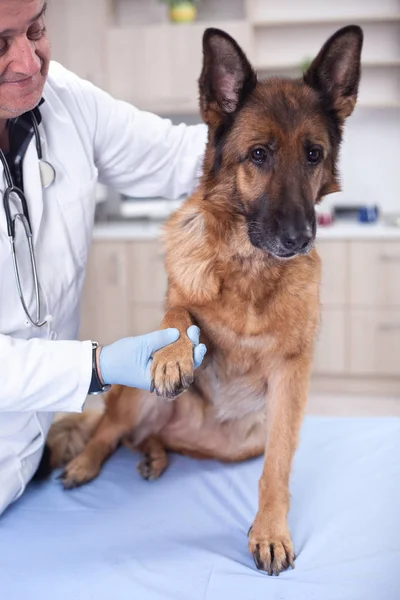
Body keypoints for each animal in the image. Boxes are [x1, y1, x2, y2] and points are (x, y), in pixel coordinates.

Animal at [46, 24, 362, 576]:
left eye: (313, 154)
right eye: (258, 154)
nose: (300, 238)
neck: (248, 267)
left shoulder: (291, 378)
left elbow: (277, 469)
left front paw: (271, 531)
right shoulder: (178, 299)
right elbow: (177, 315)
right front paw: (174, 355)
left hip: (244, 442)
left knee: (147, 439)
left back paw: (155, 455)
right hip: (135, 397)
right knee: (109, 430)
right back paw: (87, 462)